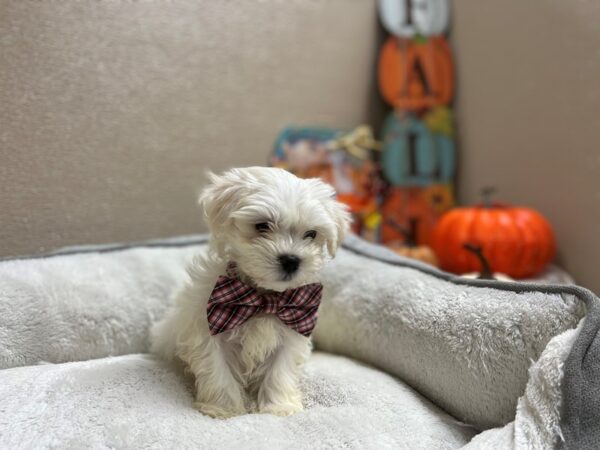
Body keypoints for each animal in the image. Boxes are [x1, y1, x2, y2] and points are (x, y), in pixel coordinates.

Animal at [150, 166, 350, 418]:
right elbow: (218, 370)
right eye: (262, 225)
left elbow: (280, 371)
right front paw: (222, 409)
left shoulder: (293, 332)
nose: (291, 260)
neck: (265, 297)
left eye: (311, 234)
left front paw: (280, 407)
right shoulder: (208, 329)